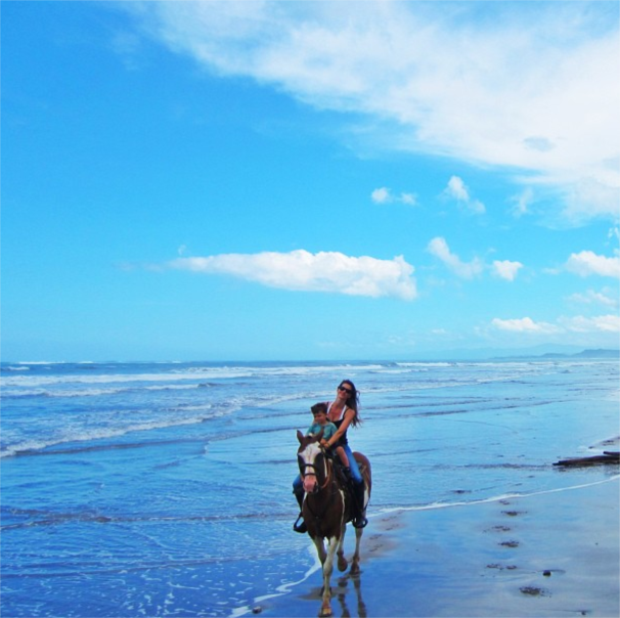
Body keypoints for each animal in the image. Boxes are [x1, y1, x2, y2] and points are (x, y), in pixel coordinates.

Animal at [296, 429, 372, 617]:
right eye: (299, 456)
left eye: (319, 456)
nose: (309, 484)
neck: (320, 499)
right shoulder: (315, 534)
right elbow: (323, 561)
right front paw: (326, 590)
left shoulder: (332, 532)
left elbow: (327, 567)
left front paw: (325, 605)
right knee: (344, 529)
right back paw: (342, 561)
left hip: (362, 510)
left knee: (358, 533)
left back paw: (353, 566)